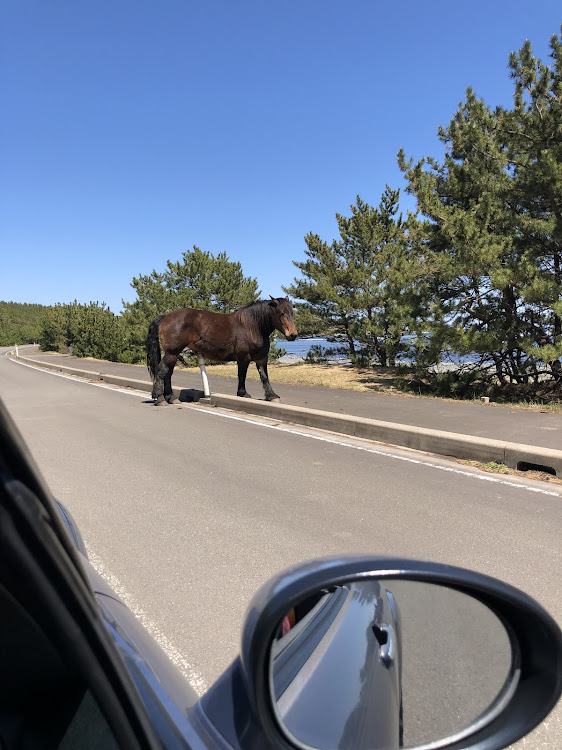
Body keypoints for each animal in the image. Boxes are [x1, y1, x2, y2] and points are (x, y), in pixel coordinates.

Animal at [147, 298, 300, 406]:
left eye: (291, 313)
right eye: (281, 313)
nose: (293, 334)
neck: (251, 326)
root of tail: (166, 316)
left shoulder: (261, 358)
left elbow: (264, 377)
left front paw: (272, 396)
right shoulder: (243, 358)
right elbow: (242, 375)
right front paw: (243, 394)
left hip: (174, 354)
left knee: (168, 374)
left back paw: (171, 398)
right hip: (172, 353)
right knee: (162, 371)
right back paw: (160, 398)